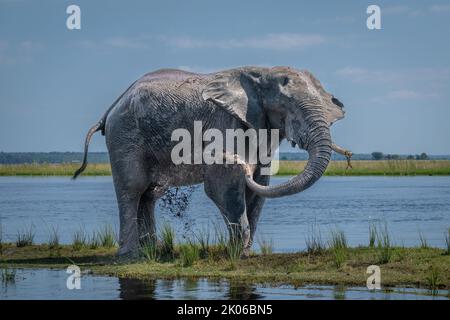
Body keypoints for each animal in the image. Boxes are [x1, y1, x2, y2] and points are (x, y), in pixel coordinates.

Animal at [74, 67, 350, 258]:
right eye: (287, 107)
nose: (238, 161)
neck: (261, 73)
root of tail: (111, 108)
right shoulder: (225, 123)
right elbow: (222, 184)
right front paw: (237, 254)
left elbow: (259, 186)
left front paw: (245, 253)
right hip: (125, 135)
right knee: (133, 188)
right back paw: (131, 255)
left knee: (150, 194)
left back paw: (154, 249)